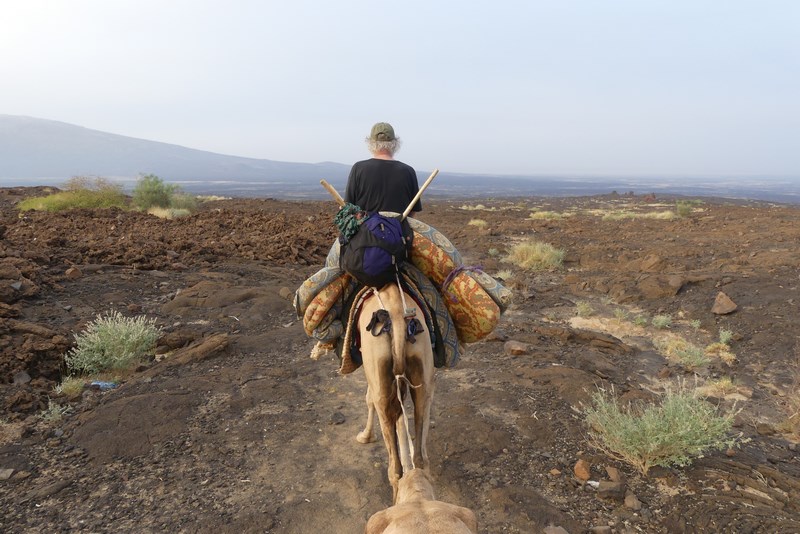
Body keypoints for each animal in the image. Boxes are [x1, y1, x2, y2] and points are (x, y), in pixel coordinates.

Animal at [356, 282, 434, 504]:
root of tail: (398, 318)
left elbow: (368, 399)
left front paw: (365, 436)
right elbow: (401, 418)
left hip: (377, 366)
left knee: (394, 468)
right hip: (422, 360)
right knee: (421, 456)